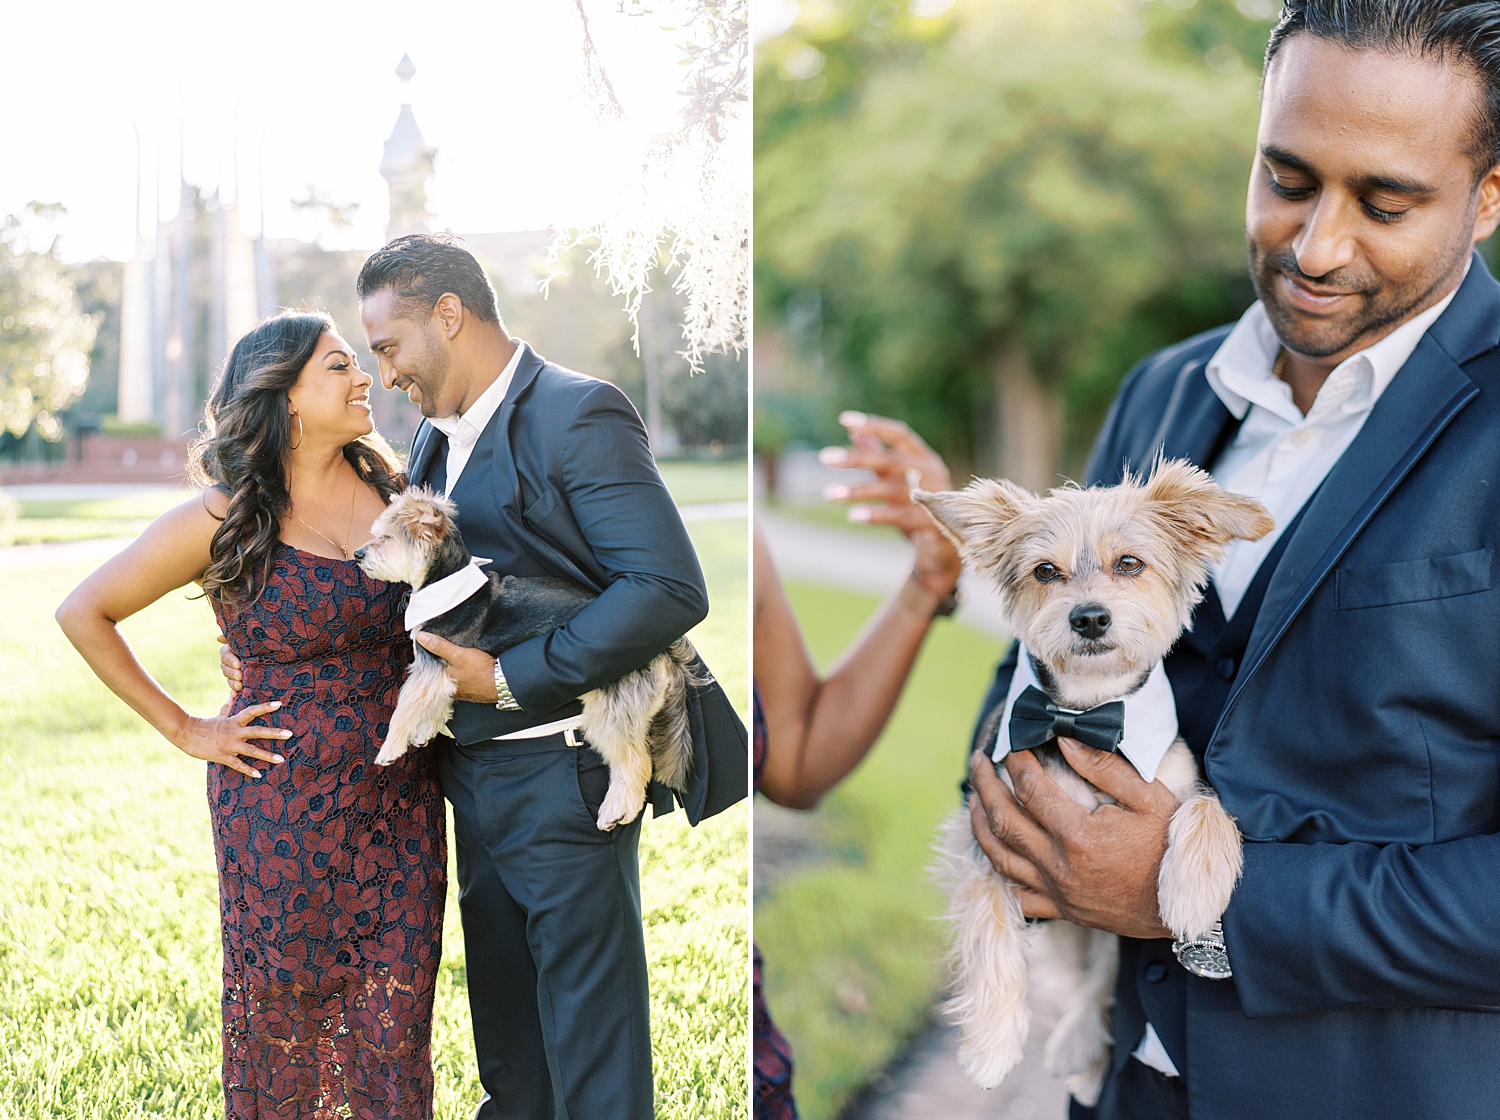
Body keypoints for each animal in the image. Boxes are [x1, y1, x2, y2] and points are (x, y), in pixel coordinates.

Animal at [906, 461, 1272, 1103]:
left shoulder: (1180, 780)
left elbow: (1208, 807)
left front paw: (1195, 890)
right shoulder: (984, 836)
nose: (1090, 616)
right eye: (1045, 571)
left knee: (1101, 970)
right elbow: (991, 930)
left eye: (1129, 563)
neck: (1083, 713)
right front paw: (992, 1046)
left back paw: (1079, 1044)